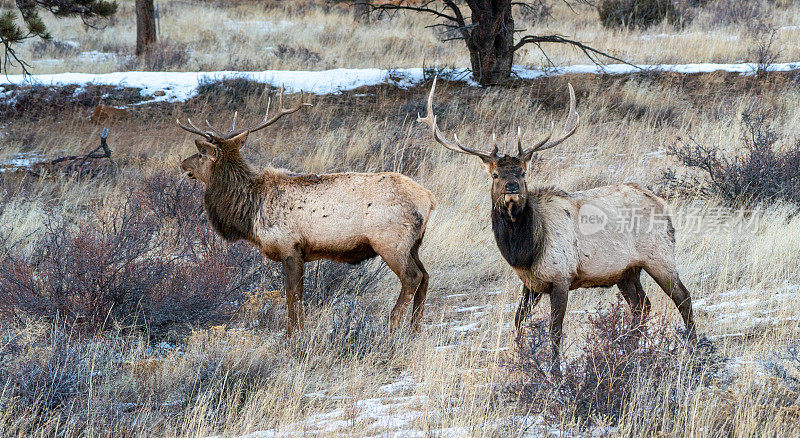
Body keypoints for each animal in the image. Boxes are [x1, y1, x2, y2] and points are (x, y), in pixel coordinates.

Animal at [177, 89, 434, 336]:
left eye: (200, 154)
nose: (183, 163)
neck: (251, 211)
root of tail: (429, 199)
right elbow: (298, 294)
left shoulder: (289, 246)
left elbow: (293, 295)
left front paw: (292, 335)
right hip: (414, 244)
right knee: (426, 277)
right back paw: (414, 330)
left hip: (391, 242)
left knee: (412, 277)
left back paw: (391, 328)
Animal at [418, 78, 692, 372]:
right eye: (495, 174)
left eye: (523, 172)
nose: (512, 187)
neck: (524, 251)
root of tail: (661, 201)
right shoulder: (530, 283)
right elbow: (518, 321)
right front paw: (521, 359)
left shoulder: (561, 277)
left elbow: (555, 330)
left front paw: (555, 371)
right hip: (627, 271)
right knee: (642, 306)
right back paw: (628, 352)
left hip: (660, 256)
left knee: (683, 298)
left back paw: (694, 347)